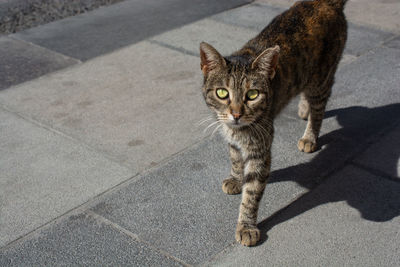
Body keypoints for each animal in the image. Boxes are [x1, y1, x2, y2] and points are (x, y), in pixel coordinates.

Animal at [199, 0, 346, 247]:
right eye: (222, 93)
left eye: (252, 95)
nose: (236, 114)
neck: (237, 130)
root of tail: (325, 3)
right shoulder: (233, 139)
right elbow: (236, 159)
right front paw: (236, 178)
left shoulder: (260, 150)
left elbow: (251, 193)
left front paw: (246, 226)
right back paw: (303, 109)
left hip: (321, 78)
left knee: (319, 107)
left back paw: (310, 135)